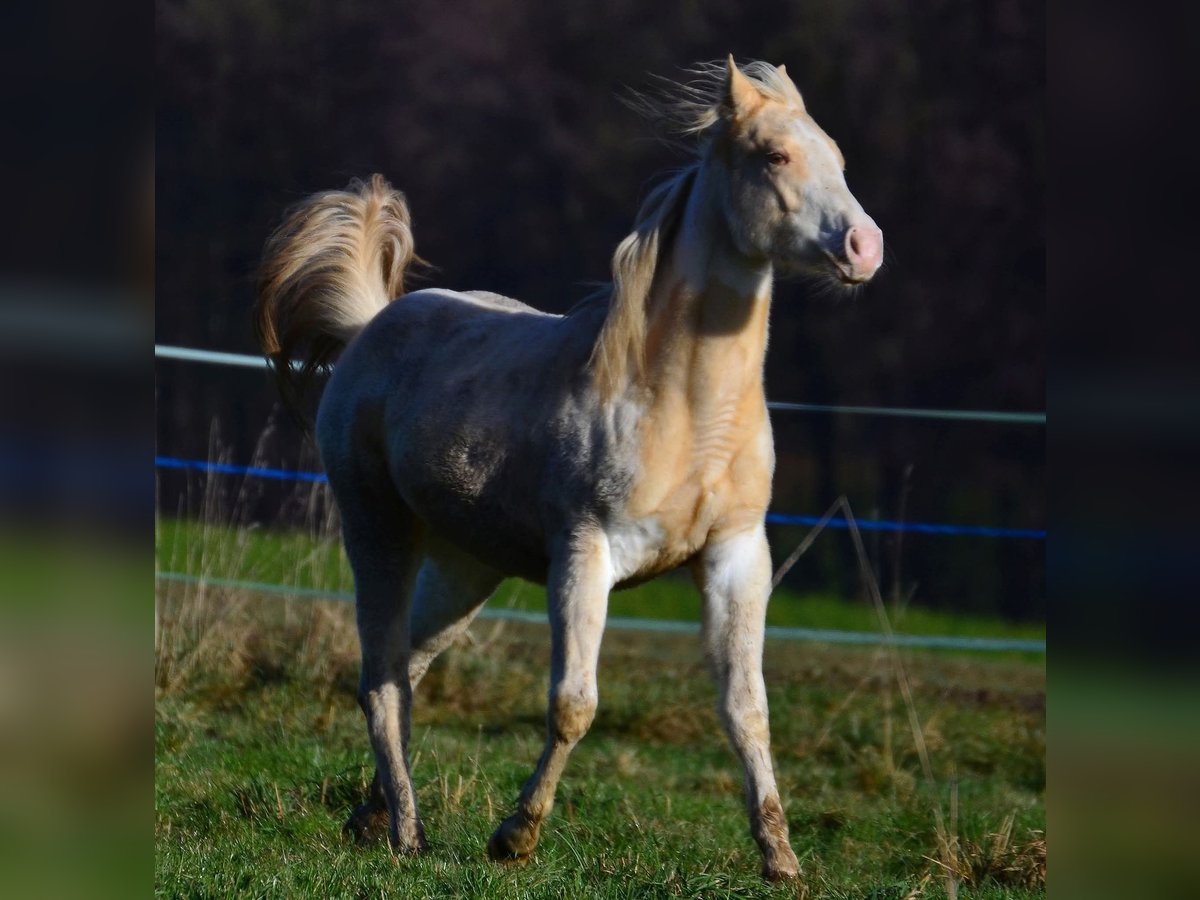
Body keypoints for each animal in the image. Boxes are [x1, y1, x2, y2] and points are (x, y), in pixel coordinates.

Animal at [255, 56, 882, 882]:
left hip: (466, 564)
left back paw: (371, 816)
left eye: (837, 156)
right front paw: (514, 836)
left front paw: (781, 859)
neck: (687, 412)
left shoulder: (738, 556)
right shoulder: (586, 554)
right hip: (377, 529)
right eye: (774, 155)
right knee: (381, 678)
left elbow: (748, 711)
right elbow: (573, 704)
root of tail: (369, 328)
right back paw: (408, 835)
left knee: (410, 666)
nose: (864, 247)